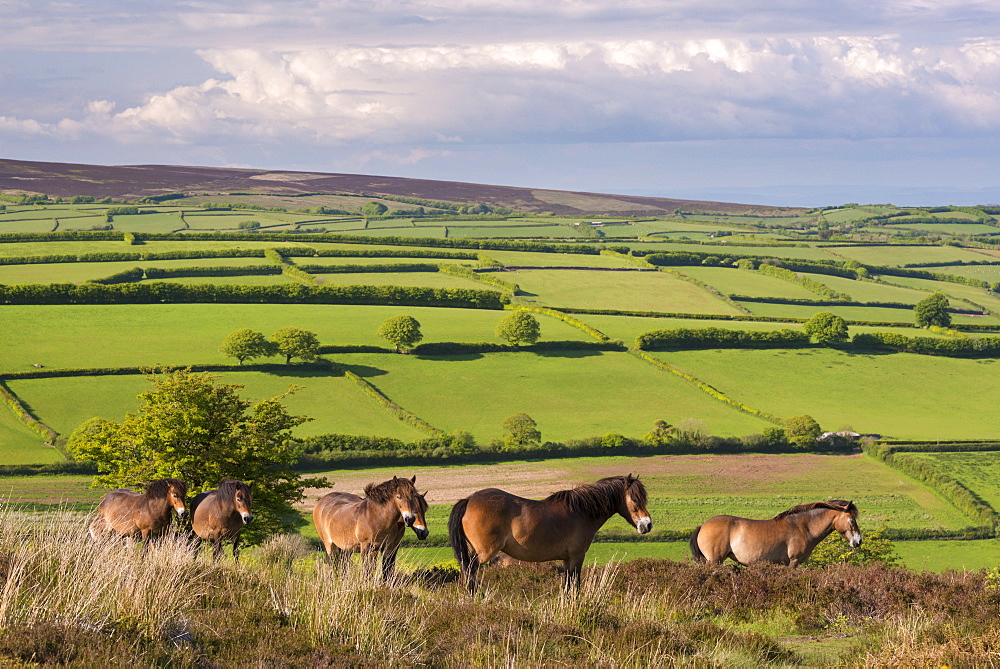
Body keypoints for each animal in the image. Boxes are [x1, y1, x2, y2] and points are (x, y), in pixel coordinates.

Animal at [450, 472, 652, 592]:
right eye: (635, 499)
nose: (648, 524)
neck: (580, 511)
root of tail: (469, 499)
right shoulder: (577, 556)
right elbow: (575, 585)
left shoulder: (567, 559)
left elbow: (568, 584)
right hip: (485, 552)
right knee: (470, 571)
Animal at [692, 498, 864, 568]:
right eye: (851, 520)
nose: (858, 541)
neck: (802, 527)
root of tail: (702, 526)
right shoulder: (793, 562)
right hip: (714, 561)